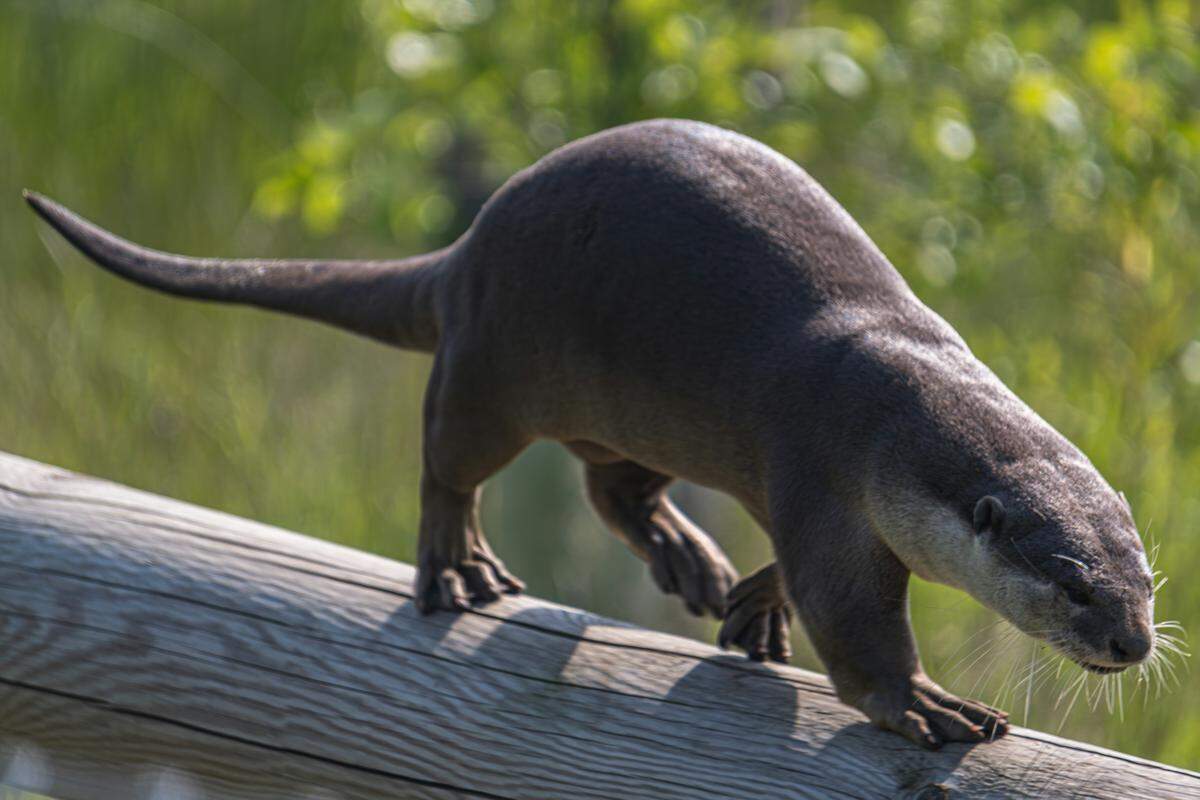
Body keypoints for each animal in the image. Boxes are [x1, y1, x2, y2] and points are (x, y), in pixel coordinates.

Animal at [24, 119, 1157, 749]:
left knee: (613, 488)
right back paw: (458, 567)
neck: (899, 403)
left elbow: (790, 572)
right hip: (492, 362)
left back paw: (692, 565)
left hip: (624, 407)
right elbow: (849, 616)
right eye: (1071, 584)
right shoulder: (825, 469)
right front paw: (926, 705)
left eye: (1143, 576)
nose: (1133, 641)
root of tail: (468, 243)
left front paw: (751, 608)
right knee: (448, 461)